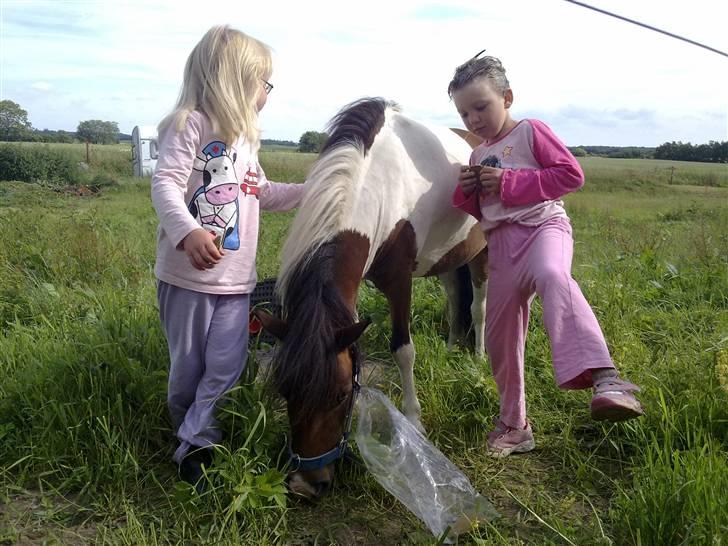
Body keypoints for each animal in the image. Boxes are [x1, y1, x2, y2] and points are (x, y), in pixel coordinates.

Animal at [255, 98, 487, 500]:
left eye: (340, 395)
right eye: (285, 390)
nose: (305, 486)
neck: (377, 183)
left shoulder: (399, 281)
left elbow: (403, 350)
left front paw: (413, 421)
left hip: (481, 253)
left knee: (478, 307)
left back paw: (479, 358)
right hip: (447, 258)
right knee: (455, 299)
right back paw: (451, 349)